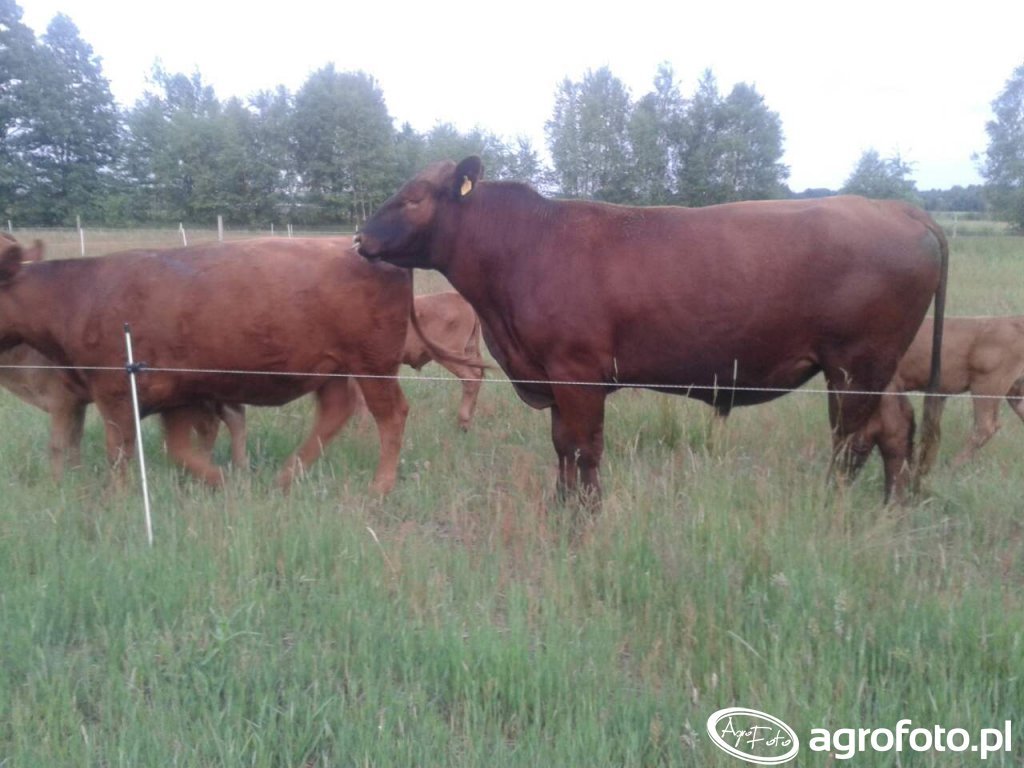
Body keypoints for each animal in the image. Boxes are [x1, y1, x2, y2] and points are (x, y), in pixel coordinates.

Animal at [0, 236, 412, 493]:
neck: (78, 294)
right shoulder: (177, 397)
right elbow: (180, 450)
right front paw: (227, 482)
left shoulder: (116, 393)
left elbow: (119, 453)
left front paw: (114, 499)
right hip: (332, 370)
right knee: (335, 413)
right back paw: (284, 477)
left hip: (373, 366)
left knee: (390, 415)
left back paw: (380, 486)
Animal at [355, 157, 948, 506]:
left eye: (412, 198)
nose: (360, 239)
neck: (524, 248)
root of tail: (896, 208)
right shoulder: (552, 378)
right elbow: (561, 447)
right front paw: (563, 507)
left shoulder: (577, 374)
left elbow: (582, 449)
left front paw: (584, 517)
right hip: (880, 368)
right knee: (895, 430)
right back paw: (890, 509)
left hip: (855, 365)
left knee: (853, 439)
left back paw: (831, 506)